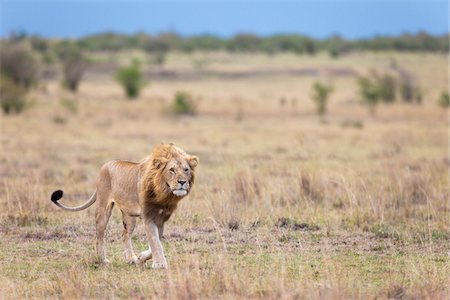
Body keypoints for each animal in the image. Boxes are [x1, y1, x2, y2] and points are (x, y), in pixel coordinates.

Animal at [49, 144, 199, 270]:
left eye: (186, 170)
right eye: (172, 170)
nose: (182, 182)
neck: (164, 193)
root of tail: (106, 164)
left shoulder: (161, 218)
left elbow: (157, 240)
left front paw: (141, 257)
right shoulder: (148, 217)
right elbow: (155, 242)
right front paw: (159, 264)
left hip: (129, 216)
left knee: (125, 235)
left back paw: (131, 259)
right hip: (103, 209)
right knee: (99, 236)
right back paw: (102, 259)